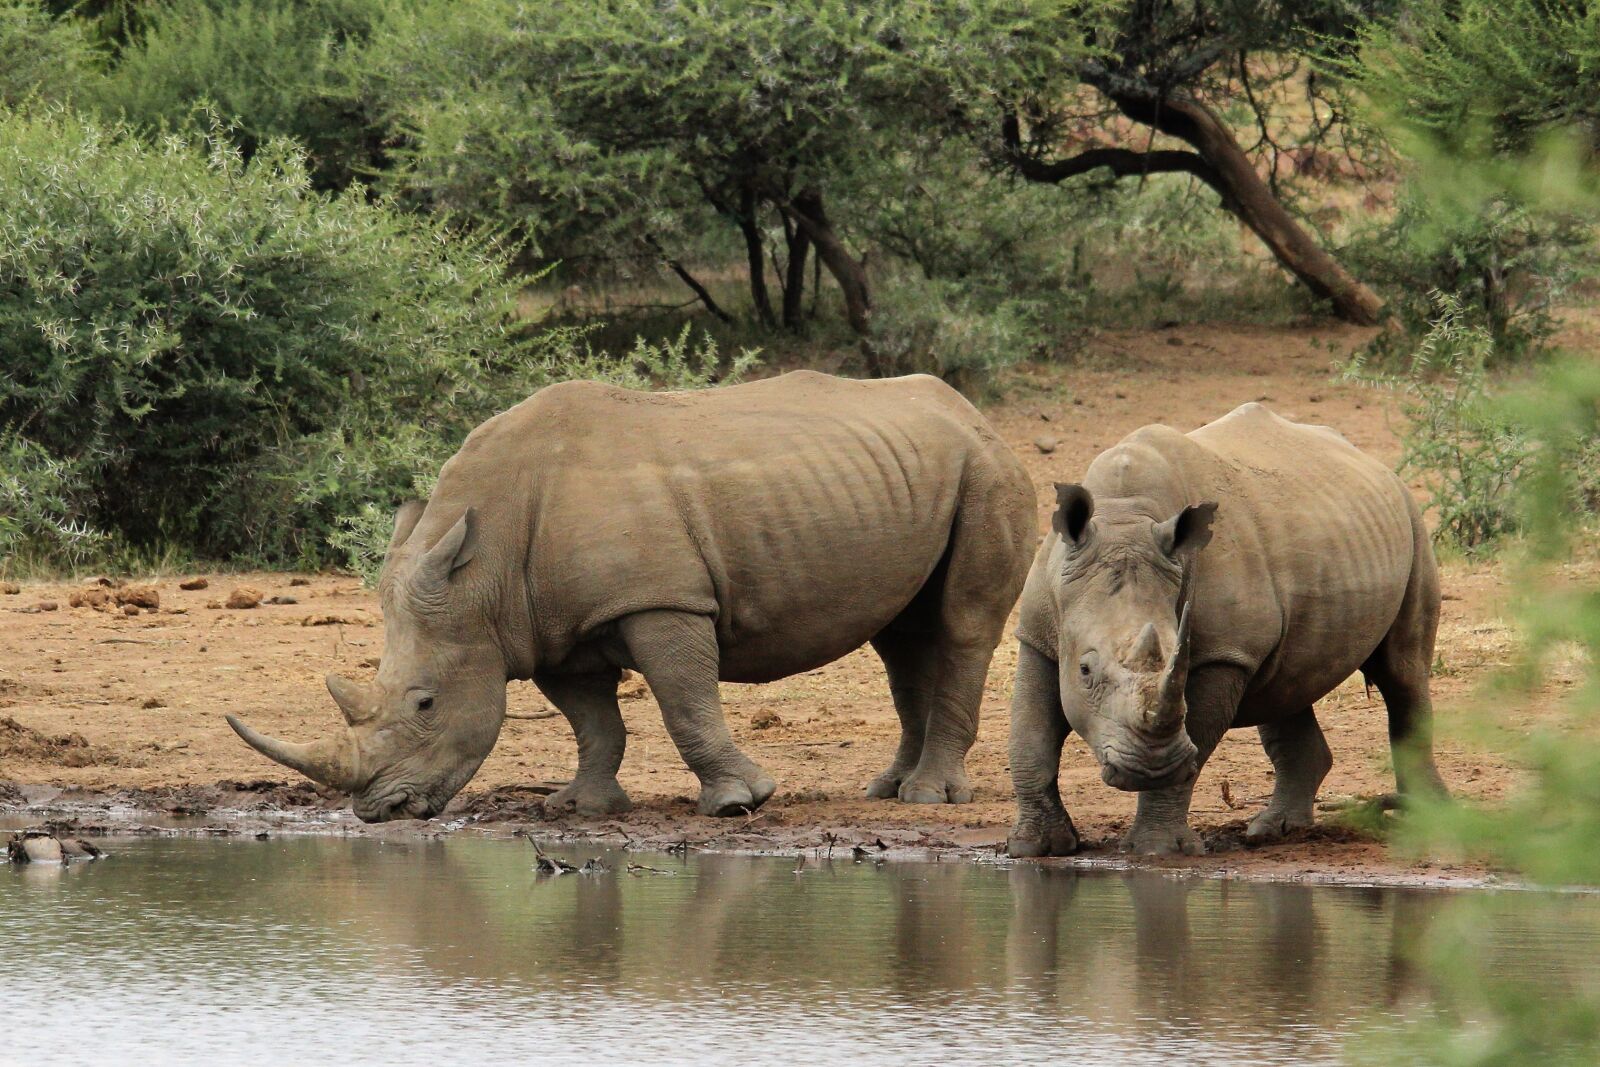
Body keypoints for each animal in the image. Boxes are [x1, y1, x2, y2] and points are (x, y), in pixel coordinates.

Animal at [228, 371, 1035, 821]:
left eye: (425, 704)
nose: (376, 812)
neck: (483, 571)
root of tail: (974, 413)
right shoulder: (545, 624)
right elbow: (592, 720)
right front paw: (578, 808)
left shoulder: (660, 599)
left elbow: (684, 702)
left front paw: (739, 803)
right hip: (911, 473)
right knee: (901, 635)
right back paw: (885, 790)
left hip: (987, 469)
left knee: (961, 625)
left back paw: (927, 798)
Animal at [1005, 403, 1446, 857]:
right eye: (1086, 670)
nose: (1151, 769)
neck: (1123, 517)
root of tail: (1376, 465)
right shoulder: (1039, 633)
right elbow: (1030, 734)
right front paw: (1037, 847)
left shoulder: (1223, 654)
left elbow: (1196, 740)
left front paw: (1156, 851)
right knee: (1286, 688)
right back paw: (1276, 831)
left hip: (1413, 523)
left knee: (1403, 674)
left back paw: (1427, 819)